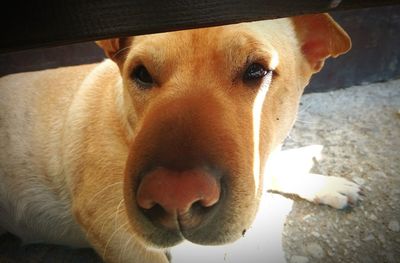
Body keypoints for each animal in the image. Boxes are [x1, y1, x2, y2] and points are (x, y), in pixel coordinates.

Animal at [0, 13, 360, 262]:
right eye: (141, 74)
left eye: (257, 70)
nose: (176, 197)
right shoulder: (113, 228)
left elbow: (270, 170)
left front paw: (323, 183)